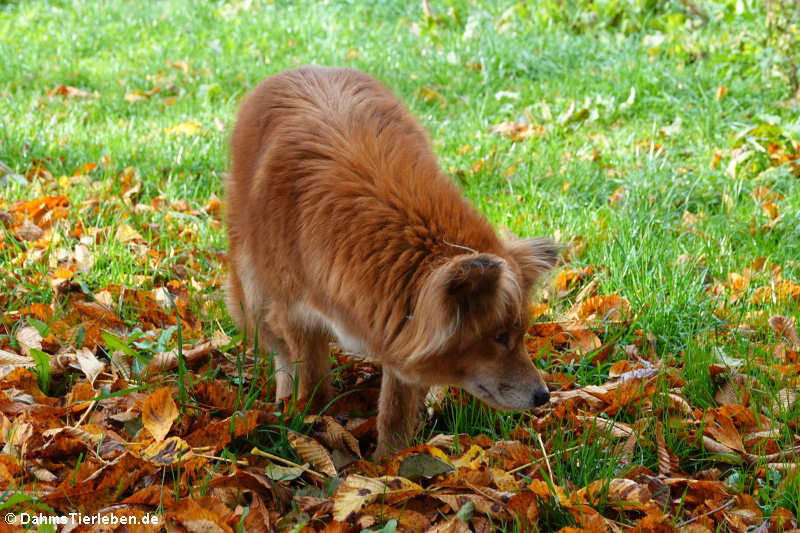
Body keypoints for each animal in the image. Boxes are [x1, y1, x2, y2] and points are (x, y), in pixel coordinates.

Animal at [225, 66, 556, 458]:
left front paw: (388, 463)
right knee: (279, 352)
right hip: (253, 298)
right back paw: (283, 400)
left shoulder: (397, 325)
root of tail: (305, 67)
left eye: (520, 335)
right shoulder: (298, 318)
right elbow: (315, 387)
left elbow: (395, 411)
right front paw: (313, 437)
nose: (544, 396)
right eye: (500, 337)